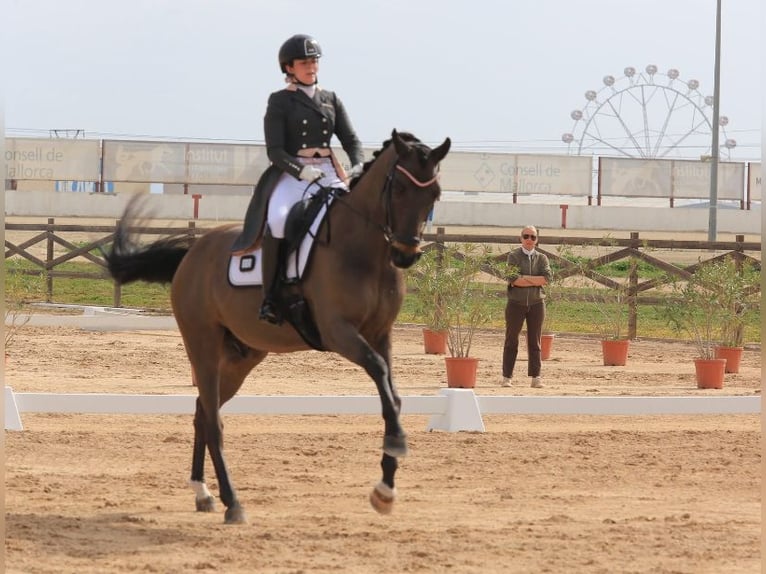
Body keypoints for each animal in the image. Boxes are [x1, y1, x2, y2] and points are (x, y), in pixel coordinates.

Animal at [104, 130, 451, 524]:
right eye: (400, 190)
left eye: (434, 194)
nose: (406, 254)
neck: (364, 251)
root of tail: (193, 253)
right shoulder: (338, 332)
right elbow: (379, 373)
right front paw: (396, 443)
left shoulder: (380, 335)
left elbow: (392, 396)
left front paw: (385, 488)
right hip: (203, 347)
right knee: (213, 421)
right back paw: (232, 502)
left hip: (242, 357)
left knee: (202, 411)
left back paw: (203, 493)